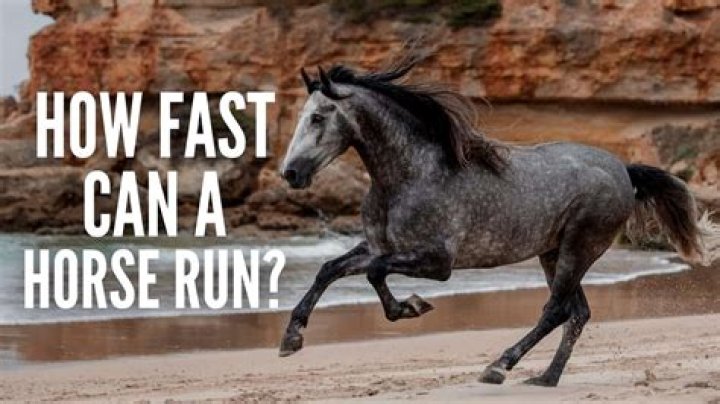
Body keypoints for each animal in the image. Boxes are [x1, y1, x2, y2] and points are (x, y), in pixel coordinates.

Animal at [276, 61, 719, 387]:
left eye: (318, 117)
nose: (291, 173)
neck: (410, 174)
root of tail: (623, 170)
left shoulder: (437, 262)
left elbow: (374, 273)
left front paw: (411, 307)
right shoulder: (379, 245)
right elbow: (330, 269)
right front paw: (291, 338)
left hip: (579, 248)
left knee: (556, 310)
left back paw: (499, 367)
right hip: (553, 252)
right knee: (577, 313)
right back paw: (545, 378)